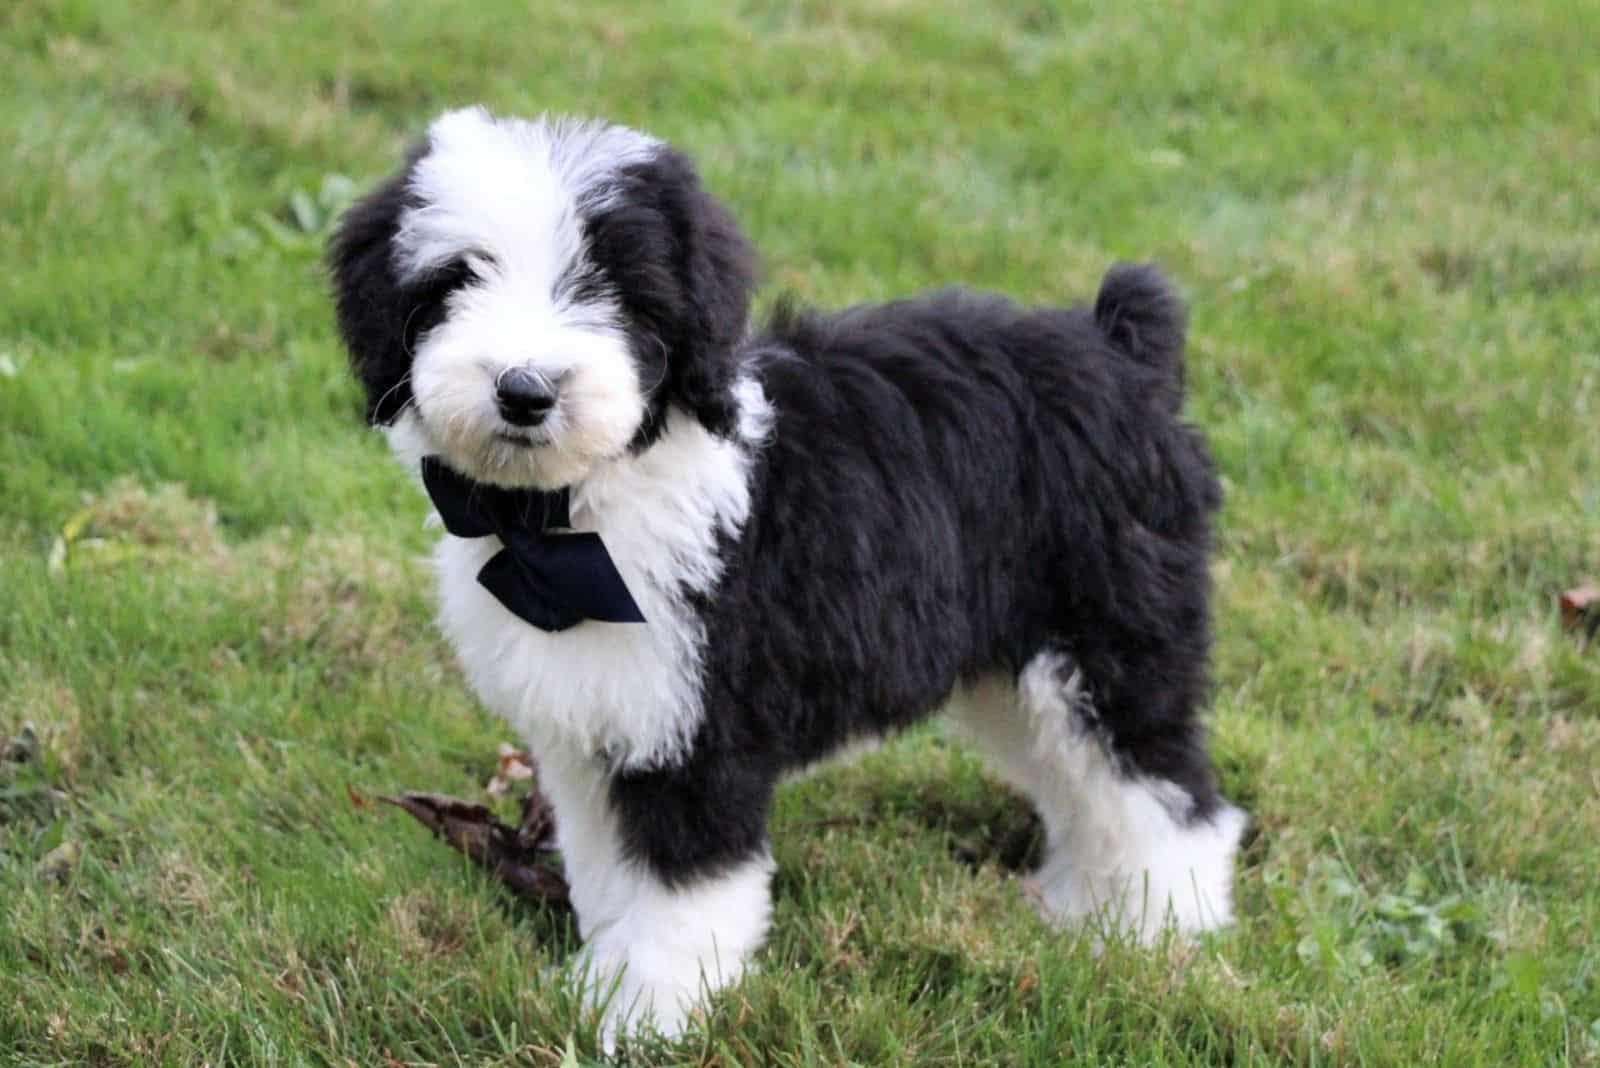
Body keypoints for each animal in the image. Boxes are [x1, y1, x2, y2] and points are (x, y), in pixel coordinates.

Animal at [328, 108, 1248, 1042]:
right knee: (1081, 787)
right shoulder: (596, 735)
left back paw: (1159, 935)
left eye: (611, 288)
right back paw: (1082, 908)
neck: (564, 522)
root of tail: (1122, 351)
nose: (524, 390)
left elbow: (680, 891)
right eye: (457, 278)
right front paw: (596, 985)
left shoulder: (700, 731)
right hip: (1014, 669)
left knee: (1167, 793)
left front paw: (647, 1013)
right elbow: (610, 874)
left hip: (1108, 640)